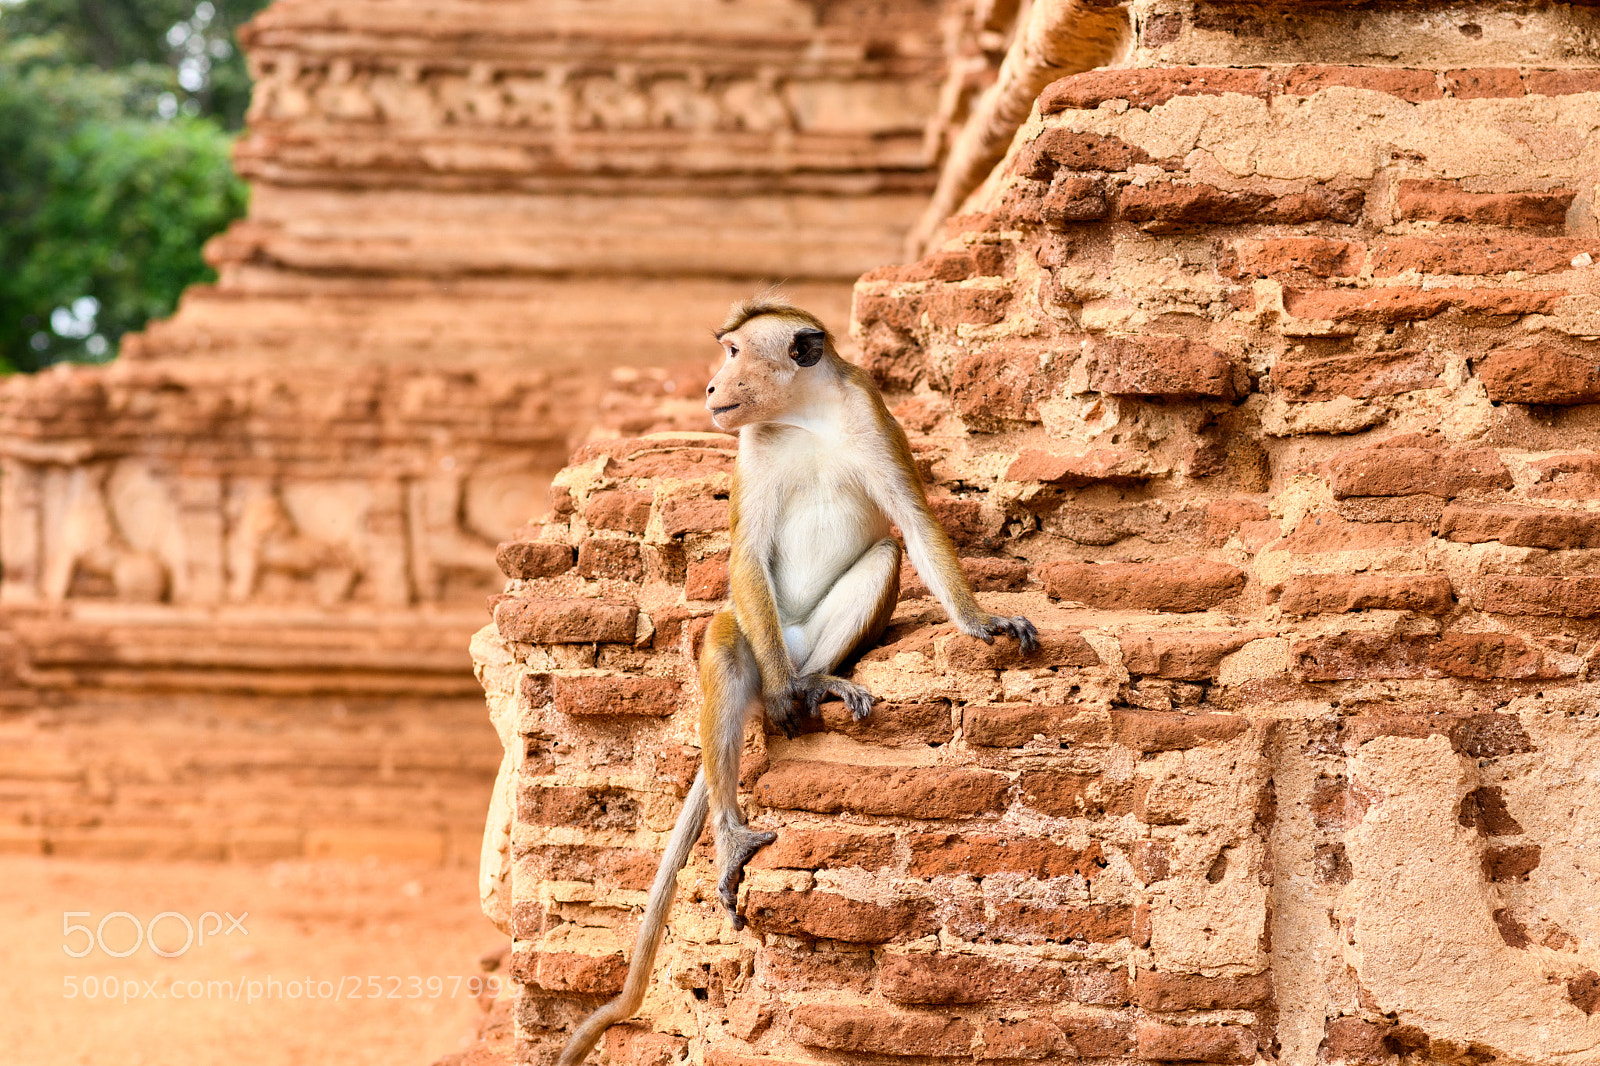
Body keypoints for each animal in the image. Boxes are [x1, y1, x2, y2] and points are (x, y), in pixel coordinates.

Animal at [558, 298, 1037, 1066]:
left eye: (733, 353)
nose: (710, 387)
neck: (805, 416)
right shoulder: (751, 449)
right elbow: (747, 552)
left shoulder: (870, 415)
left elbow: (912, 522)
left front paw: (980, 621)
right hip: (767, 637)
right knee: (730, 644)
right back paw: (737, 817)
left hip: (810, 636)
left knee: (882, 556)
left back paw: (818, 684)